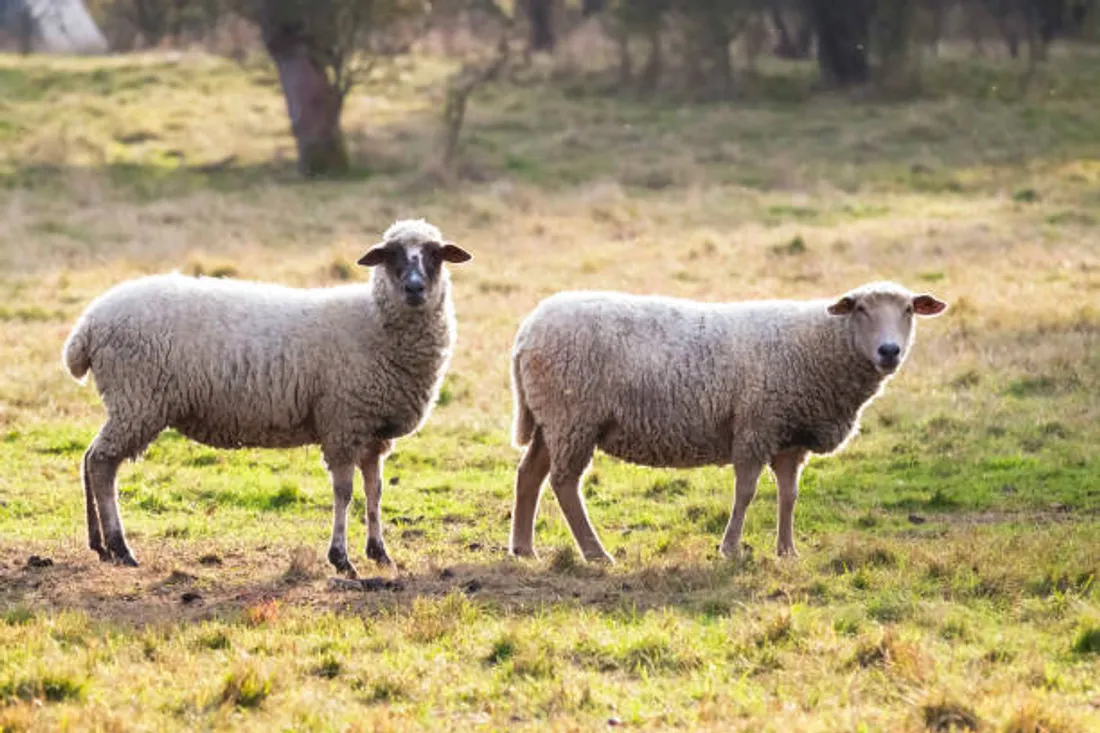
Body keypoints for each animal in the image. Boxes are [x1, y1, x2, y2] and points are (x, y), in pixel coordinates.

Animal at [62, 219, 472, 576]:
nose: (415, 288)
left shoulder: (372, 431)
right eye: (390, 255)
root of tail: (87, 328)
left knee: (90, 458)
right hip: (137, 399)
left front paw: (379, 553)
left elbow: (375, 491)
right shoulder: (342, 423)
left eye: (435, 254)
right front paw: (341, 559)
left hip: (130, 404)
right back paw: (120, 548)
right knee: (102, 463)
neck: (373, 321)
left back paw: (100, 545)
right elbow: (344, 493)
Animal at [508, 280, 947, 563]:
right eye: (861, 309)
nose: (889, 350)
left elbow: (789, 495)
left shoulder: (789, 438)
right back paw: (595, 552)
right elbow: (747, 491)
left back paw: (524, 549)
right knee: (564, 483)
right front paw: (731, 549)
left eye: (909, 310)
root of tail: (528, 329)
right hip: (573, 417)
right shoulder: (756, 426)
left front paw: (787, 551)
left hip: (552, 420)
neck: (820, 345)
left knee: (529, 475)